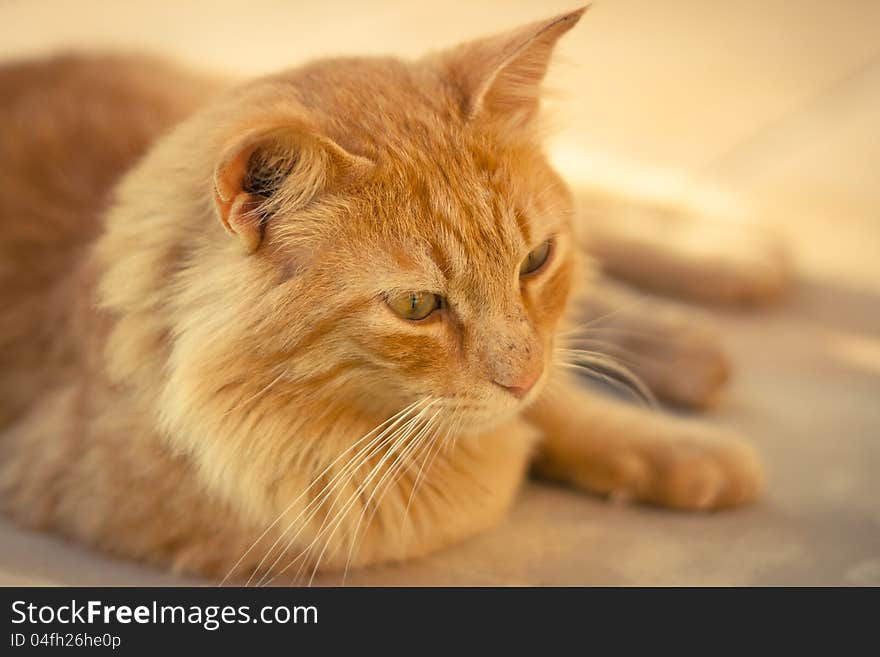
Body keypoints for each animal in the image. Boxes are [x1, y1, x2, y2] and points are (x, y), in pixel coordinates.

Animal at [0, 9, 764, 584]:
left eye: (536, 260)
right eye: (416, 307)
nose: (521, 376)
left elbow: (568, 408)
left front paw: (688, 454)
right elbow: (522, 438)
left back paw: (735, 269)